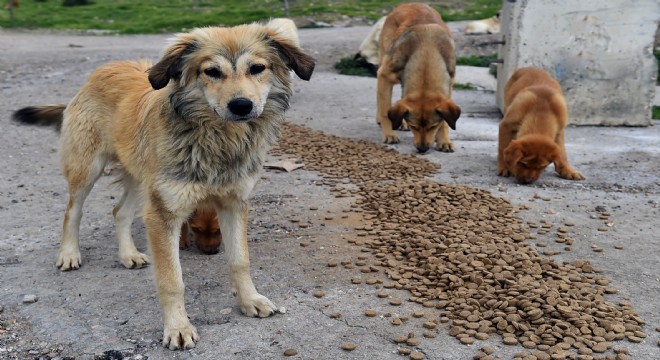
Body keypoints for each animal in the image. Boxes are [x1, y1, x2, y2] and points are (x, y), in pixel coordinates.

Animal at [12, 21, 314, 348]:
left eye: (257, 68)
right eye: (212, 71)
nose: (241, 106)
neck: (218, 140)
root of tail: (104, 68)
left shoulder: (233, 203)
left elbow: (239, 261)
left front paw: (249, 300)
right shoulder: (163, 213)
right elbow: (172, 280)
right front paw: (178, 327)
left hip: (139, 176)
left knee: (120, 212)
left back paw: (128, 255)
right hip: (87, 167)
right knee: (73, 210)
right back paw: (69, 254)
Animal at [374, 2, 462, 153]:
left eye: (433, 126)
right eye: (414, 126)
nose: (422, 149)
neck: (427, 53)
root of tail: (410, 3)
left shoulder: (449, 84)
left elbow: (444, 121)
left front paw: (444, 140)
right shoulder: (384, 75)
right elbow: (386, 110)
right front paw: (389, 134)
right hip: (384, 56)